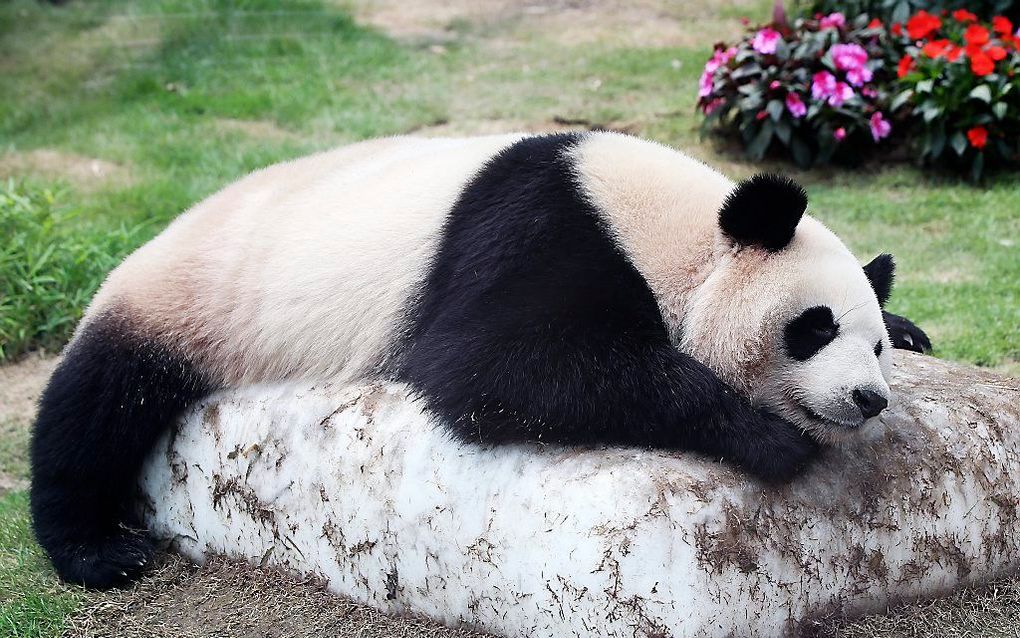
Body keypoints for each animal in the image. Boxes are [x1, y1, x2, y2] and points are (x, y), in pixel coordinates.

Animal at [29, 130, 934, 587]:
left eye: (873, 348)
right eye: (812, 327)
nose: (868, 398)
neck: (671, 227)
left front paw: (912, 325)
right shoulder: (543, 228)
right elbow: (496, 369)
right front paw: (767, 438)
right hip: (188, 303)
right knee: (96, 406)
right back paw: (96, 551)